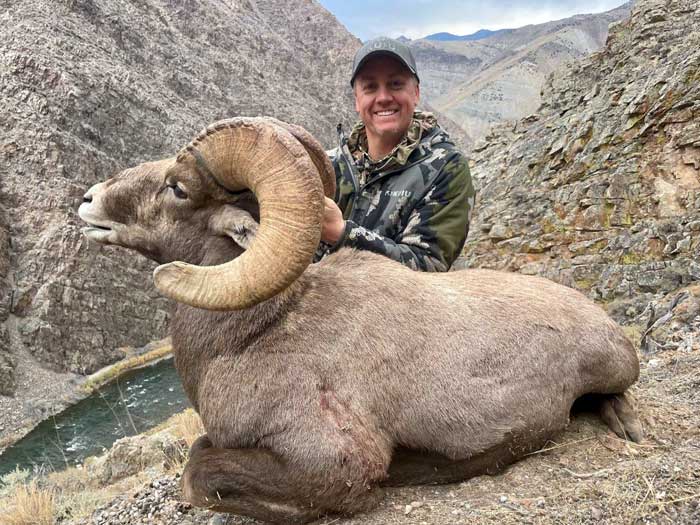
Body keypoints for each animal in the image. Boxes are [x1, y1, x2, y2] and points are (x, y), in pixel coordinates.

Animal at [78, 117, 642, 524]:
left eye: (176, 189)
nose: (88, 200)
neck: (251, 334)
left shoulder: (329, 461)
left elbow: (197, 474)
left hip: (614, 370)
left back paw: (625, 423)